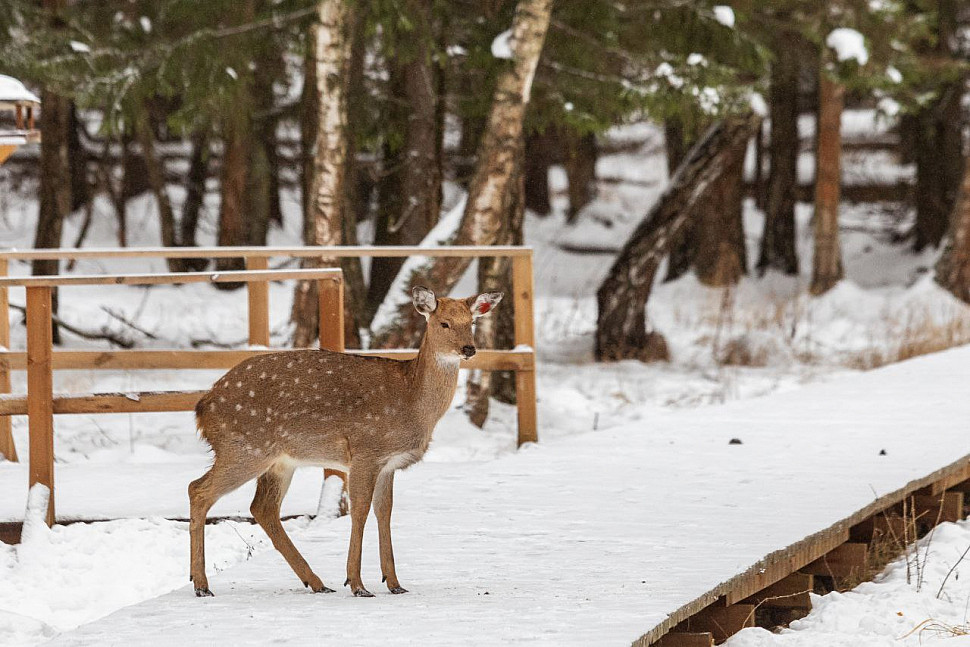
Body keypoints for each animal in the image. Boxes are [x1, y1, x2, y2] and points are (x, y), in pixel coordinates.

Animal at [187, 286, 500, 600]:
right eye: (444, 323)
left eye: (472, 322)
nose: (469, 349)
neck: (411, 399)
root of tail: (203, 406)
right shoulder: (365, 451)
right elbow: (359, 511)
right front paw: (357, 584)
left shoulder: (388, 464)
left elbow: (384, 512)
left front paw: (394, 583)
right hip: (244, 447)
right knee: (198, 490)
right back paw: (201, 584)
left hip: (278, 461)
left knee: (262, 508)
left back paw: (316, 582)